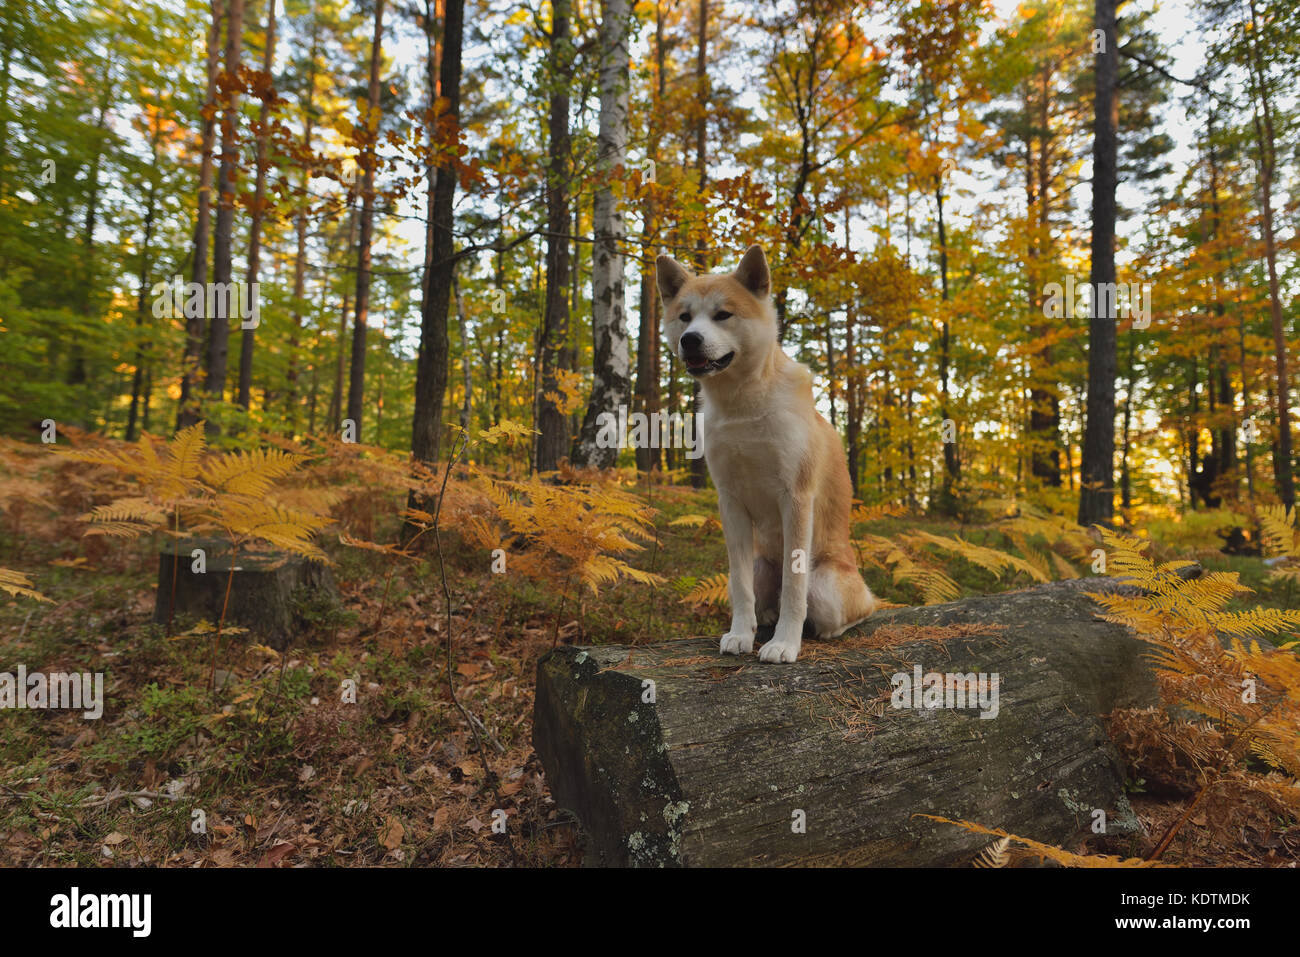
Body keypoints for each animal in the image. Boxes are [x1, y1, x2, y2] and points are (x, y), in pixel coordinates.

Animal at [655, 243, 878, 660]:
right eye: (684, 317)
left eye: (722, 315)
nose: (690, 339)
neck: (743, 405)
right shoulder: (730, 502)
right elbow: (740, 587)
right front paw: (740, 634)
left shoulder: (796, 497)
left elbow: (794, 587)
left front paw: (786, 644)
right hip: (762, 566)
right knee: (759, 596)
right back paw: (766, 620)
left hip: (826, 585)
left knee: (850, 608)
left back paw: (821, 629)